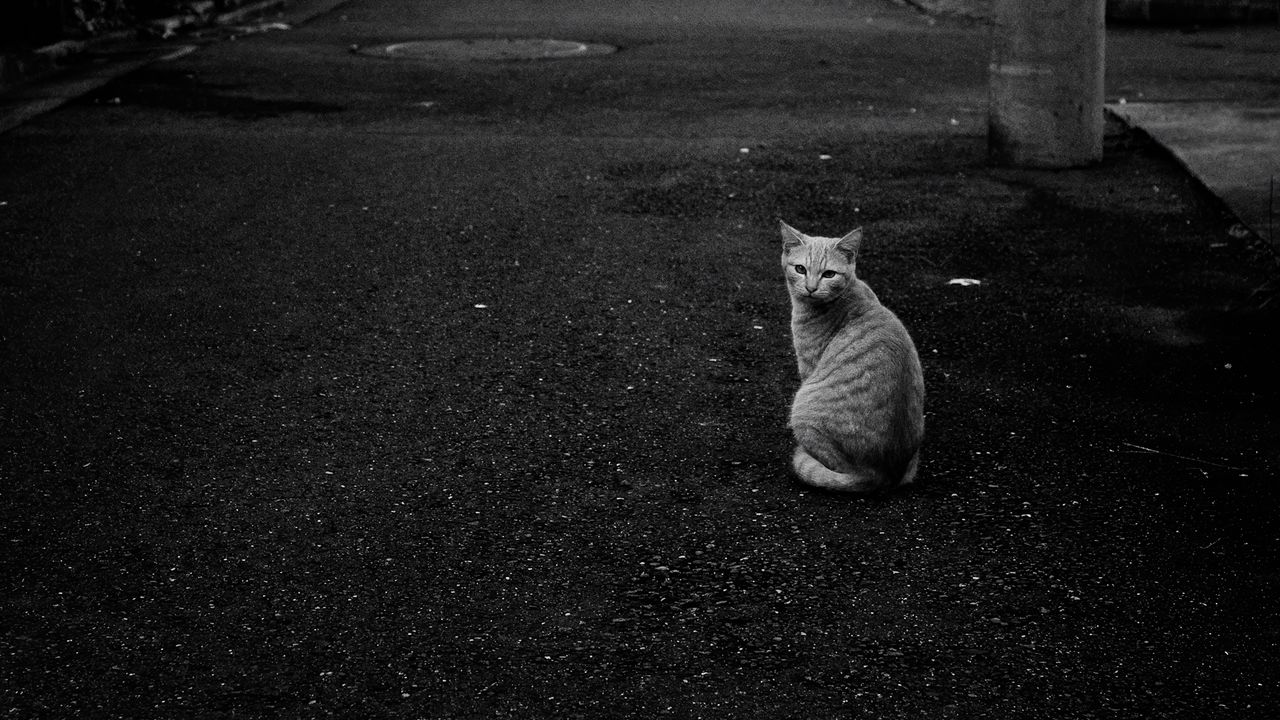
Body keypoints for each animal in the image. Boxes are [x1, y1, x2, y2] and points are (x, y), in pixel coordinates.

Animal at [773, 217, 926, 486]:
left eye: (829, 274)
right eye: (800, 269)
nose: (811, 287)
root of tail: (883, 474)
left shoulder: (809, 367)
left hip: (802, 406)